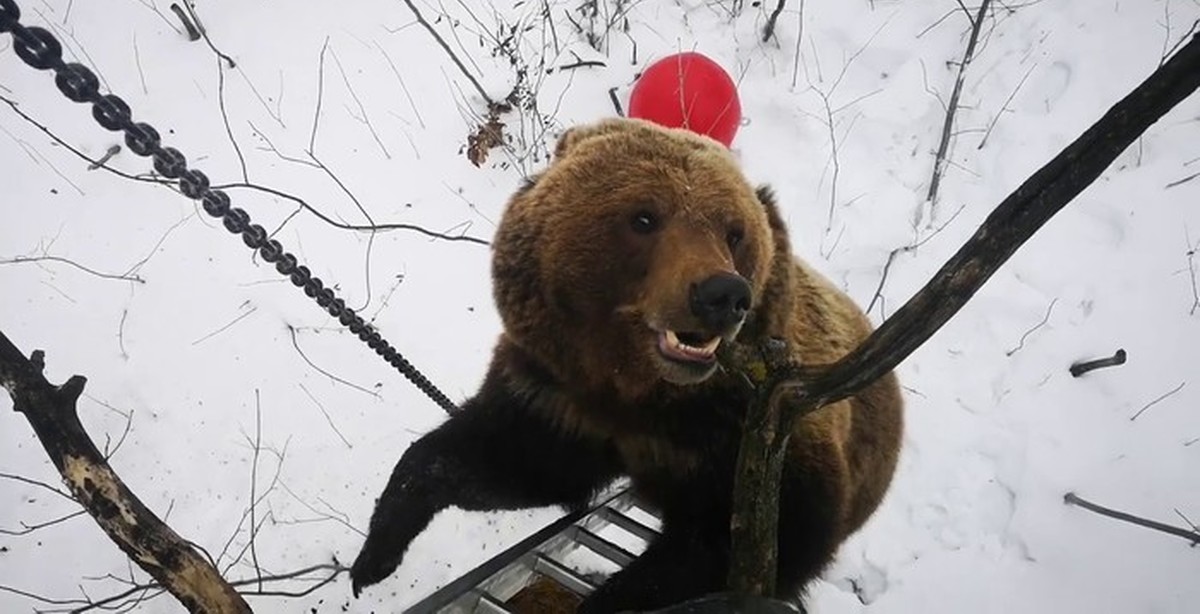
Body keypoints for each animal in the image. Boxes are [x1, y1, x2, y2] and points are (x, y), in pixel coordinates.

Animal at [348, 117, 902, 611]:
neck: (642, 395)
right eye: (644, 217)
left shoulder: (747, 441)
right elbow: (499, 460)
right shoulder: (563, 399)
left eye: (735, 231)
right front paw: (374, 556)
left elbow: (724, 551)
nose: (722, 295)